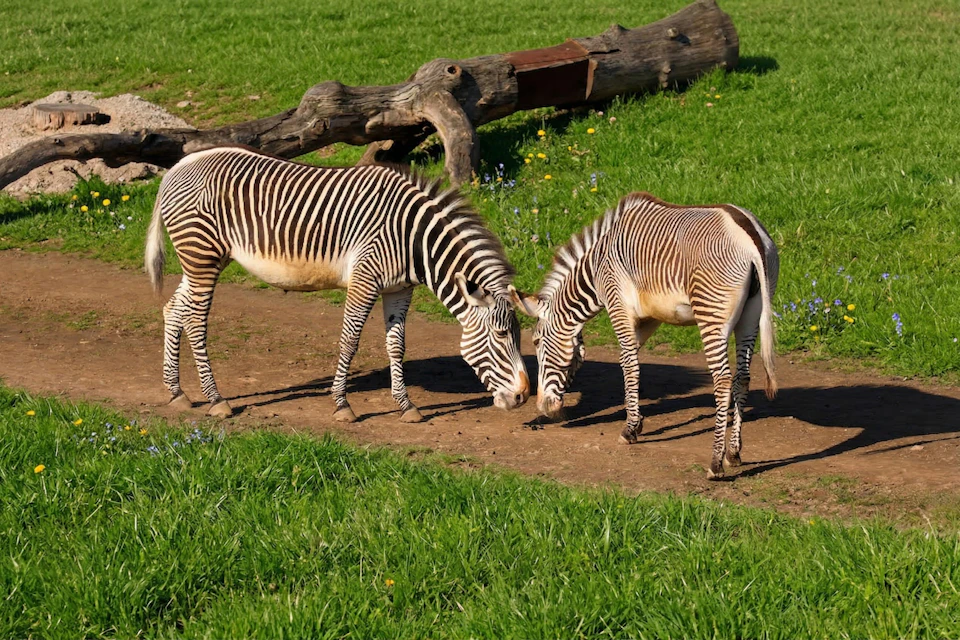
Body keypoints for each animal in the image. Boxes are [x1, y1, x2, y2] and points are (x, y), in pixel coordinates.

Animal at [144, 146, 530, 421]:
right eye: (501, 336)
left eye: (517, 335)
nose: (524, 396)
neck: (414, 238)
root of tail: (177, 167)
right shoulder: (365, 279)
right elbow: (350, 341)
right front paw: (342, 405)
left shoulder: (398, 289)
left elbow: (397, 345)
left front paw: (406, 406)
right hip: (202, 256)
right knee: (195, 321)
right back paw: (216, 399)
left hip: (203, 260)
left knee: (174, 309)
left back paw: (177, 392)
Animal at [509, 192, 778, 479]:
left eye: (536, 341)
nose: (544, 409)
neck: (596, 267)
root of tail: (751, 237)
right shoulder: (650, 318)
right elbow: (629, 360)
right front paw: (637, 421)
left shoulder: (618, 306)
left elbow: (629, 364)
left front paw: (629, 429)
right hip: (751, 316)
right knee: (743, 377)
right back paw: (734, 453)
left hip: (711, 314)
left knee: (723, 380)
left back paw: (715, 462)